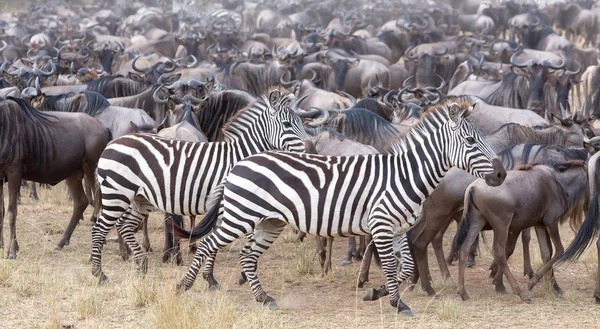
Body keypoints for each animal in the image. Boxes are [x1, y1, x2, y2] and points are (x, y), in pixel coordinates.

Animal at [91, 87, 312, 282]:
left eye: (301, 122)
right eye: (286, 124)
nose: (310, 148)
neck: (237, 157)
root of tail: (113, 143)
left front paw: (219, 275)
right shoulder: (229, 205)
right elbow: (218, 240)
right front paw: (212, 278)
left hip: (139, 197)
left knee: (124, 225)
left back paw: (141, 265)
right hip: (117, 193)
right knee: (99, 229)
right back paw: (99, 274)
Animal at [173, 94, 506, 312]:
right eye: (471, 141)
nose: (502, 173)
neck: (404, 175)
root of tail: (240, 162)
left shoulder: (398, 229)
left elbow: (407, 266)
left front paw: (376, 293)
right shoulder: (381, 225)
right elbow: (390, 265)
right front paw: (397, 303)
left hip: (270, 221)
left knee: (247, 255)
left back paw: (263, 298)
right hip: (240, 215)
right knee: (208, 244)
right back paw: (184, 286)